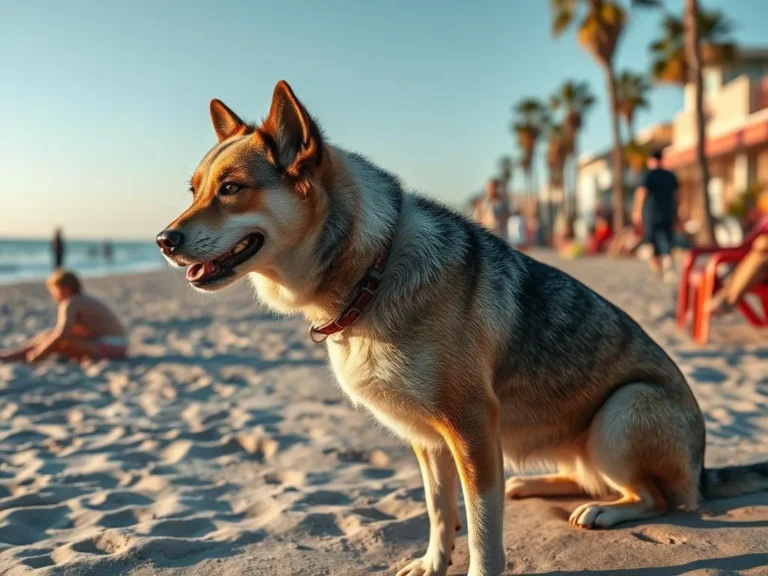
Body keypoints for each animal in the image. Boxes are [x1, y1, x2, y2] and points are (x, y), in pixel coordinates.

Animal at [158, 82, 768, 576]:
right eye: (194, 190)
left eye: (232, 188)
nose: (163, 240)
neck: (372, 270)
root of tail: (702, 468)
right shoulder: (428, 439)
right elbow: (437, 508)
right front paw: (433, 561)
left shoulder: (471, 428)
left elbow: (480, 527)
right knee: (587, 476)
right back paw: (537, 483)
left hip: (621, 412)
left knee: (657, 498)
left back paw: (603, 509)